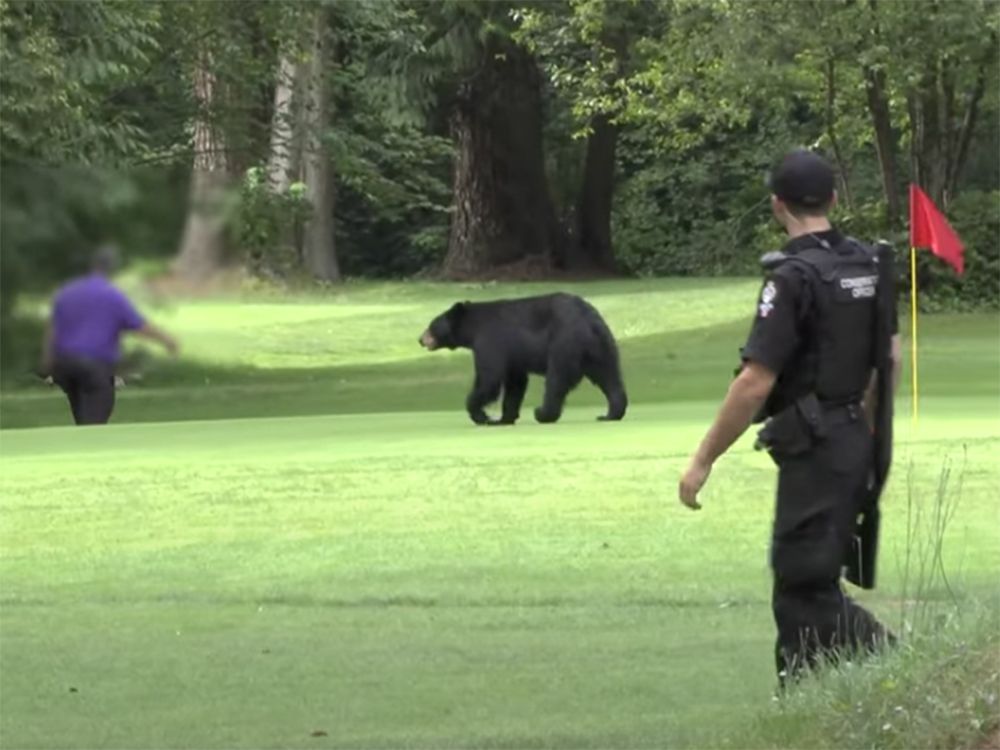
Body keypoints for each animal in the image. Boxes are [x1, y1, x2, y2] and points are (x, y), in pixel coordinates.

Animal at [418, 293, 627, 425]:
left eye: (431, 325)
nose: (420, 339)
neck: (473, 328)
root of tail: (589, 319)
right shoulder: (513, 356)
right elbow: (515, 383)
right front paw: (504, 419)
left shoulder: (490, 341)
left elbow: (489, 379)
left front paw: (483, 416)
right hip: (602, 348)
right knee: (609, 377)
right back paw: (611, 413)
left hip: (564, 343)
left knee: (557, 379)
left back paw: (543, 413)